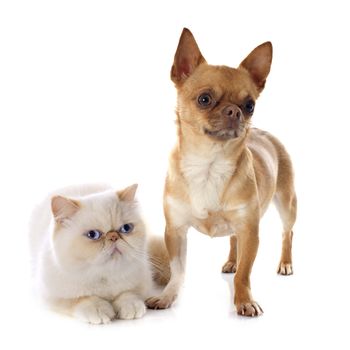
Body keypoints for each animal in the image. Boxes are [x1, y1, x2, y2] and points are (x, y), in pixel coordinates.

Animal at [29, 185, 169, 324]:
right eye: (93, 235)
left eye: (126, 228)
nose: (113, 236)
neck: (103, 276)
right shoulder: (53, 297)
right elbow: (84, 299)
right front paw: (99, 310)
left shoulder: (141, 285)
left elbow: (128, 294)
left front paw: (131, 307)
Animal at [146, 28, 296, 316]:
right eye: (204, 99)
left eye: (250, 105)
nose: (235, 111)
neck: (209, 165)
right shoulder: (175, 231)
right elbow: (177, 271)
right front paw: (167, 296)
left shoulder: (250, 230)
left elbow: (244, 275)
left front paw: (244, 300)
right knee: (233, 240)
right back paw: (231, 261)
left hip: (286, 204)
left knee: (287, 233)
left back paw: (285, 263)